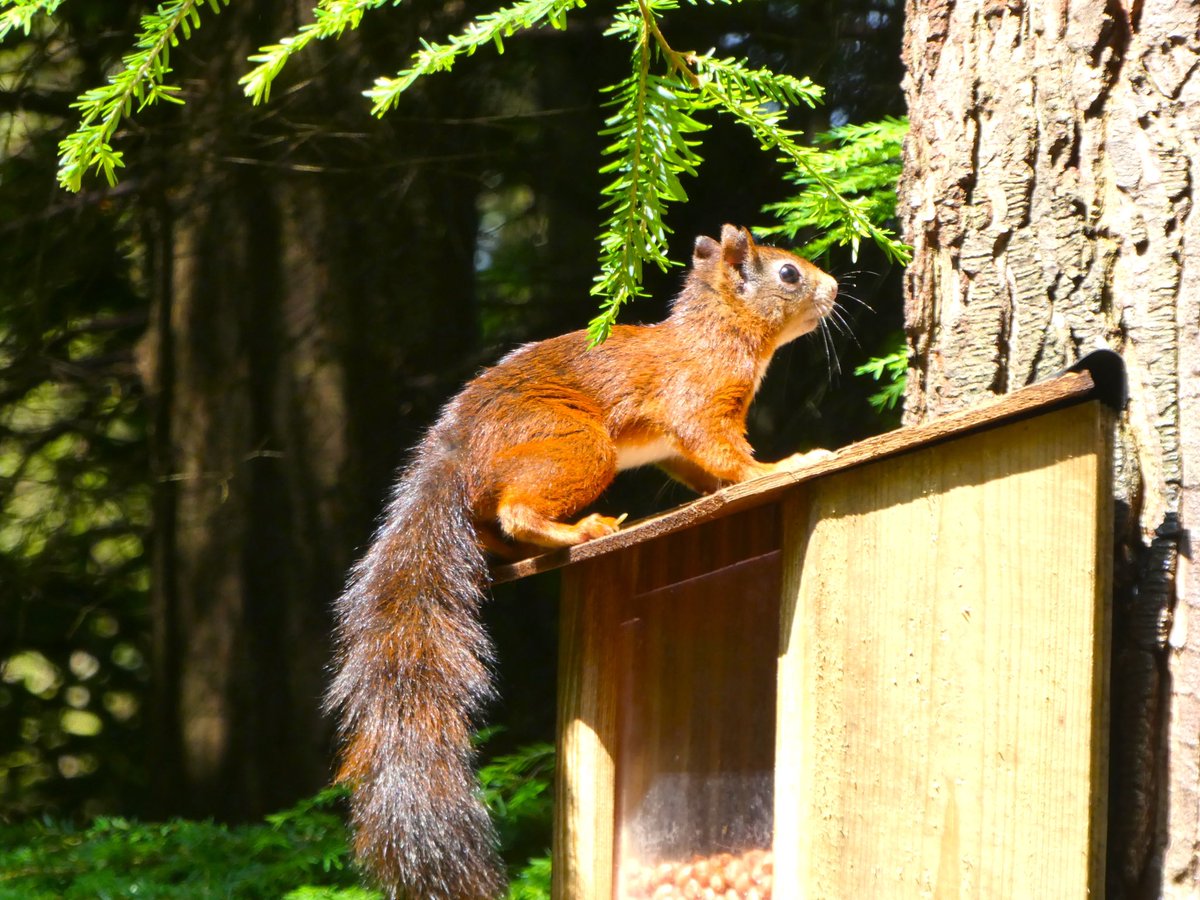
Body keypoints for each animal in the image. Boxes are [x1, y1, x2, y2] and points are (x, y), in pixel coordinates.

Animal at [326, 224, 838, 899]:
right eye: (788, 273)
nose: (835, 285)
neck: (718, 331)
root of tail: (452, 450)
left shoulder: (673, 448)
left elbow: (699, 470)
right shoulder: (699, 400)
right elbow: (724, 453)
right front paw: (780, 466)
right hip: (581, 445)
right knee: (516, 508)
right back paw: (574, 529)